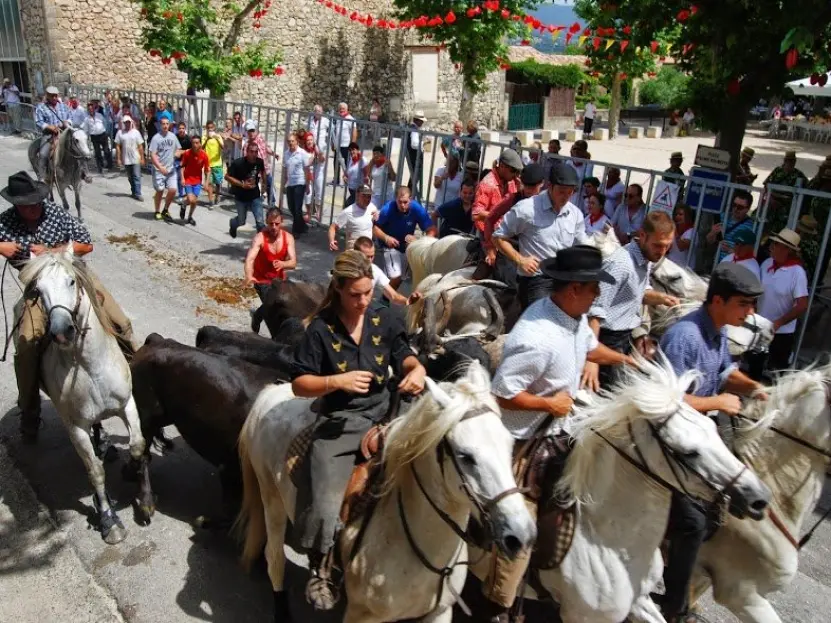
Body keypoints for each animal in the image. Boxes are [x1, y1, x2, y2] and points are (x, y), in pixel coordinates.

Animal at [15, 246, 145, 544]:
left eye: (71, 281)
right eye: (37, 290)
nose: (61, 332)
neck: (90, 366)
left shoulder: (127, 405)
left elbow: (137, 445)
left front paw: (136, 481)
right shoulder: (75, 426)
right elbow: (95, 470)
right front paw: (108, 518)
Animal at [236, 360, 532, 623]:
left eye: (510, 445)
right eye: (465, 456)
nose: (522, 534)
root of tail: (272, 393)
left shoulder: (439, 613)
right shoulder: (362, 615)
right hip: (271, 498)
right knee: (274, 558)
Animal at [500, 356, 772, 623]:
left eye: (713, 428)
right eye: (688, 452)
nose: (759, 498)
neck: (609, 541)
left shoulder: (640, 602)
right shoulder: (583, 616)